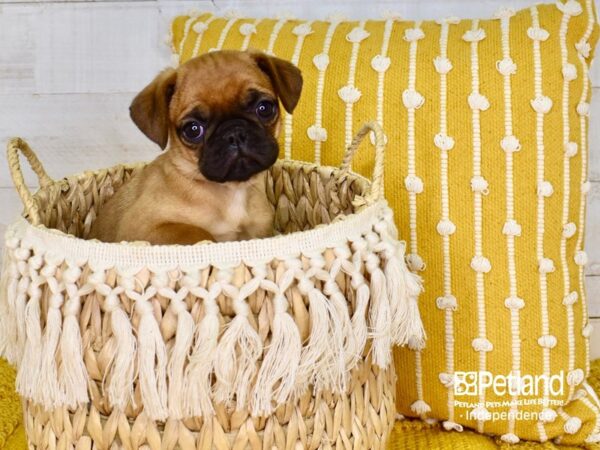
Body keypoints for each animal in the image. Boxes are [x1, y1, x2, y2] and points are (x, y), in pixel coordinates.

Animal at [89, 51, 302, 246]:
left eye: (264, 108)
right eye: (193, 129)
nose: (234, 133)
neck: (231, 191)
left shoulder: (260, 231)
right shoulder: (141, 229)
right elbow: (196, 232)